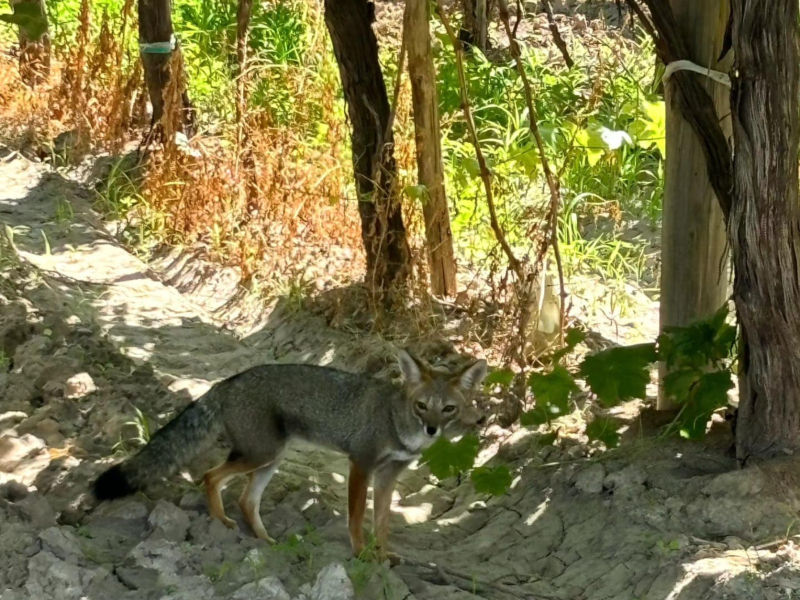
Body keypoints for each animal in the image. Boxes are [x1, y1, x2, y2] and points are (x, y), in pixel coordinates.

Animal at [97, 350, 490, 560]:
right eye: (422, 406)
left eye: (448, 409)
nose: (432, 430)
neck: (397, 421)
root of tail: (226, 382)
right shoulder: (360, 465)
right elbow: (356, 518)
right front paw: (361, 553)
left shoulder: (388, 476)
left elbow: (382, 523)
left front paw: (383, 555)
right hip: (262, 455)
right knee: (210, 476)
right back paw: (222, 523)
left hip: (270, 460)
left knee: (246, 500)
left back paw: (266, 541)